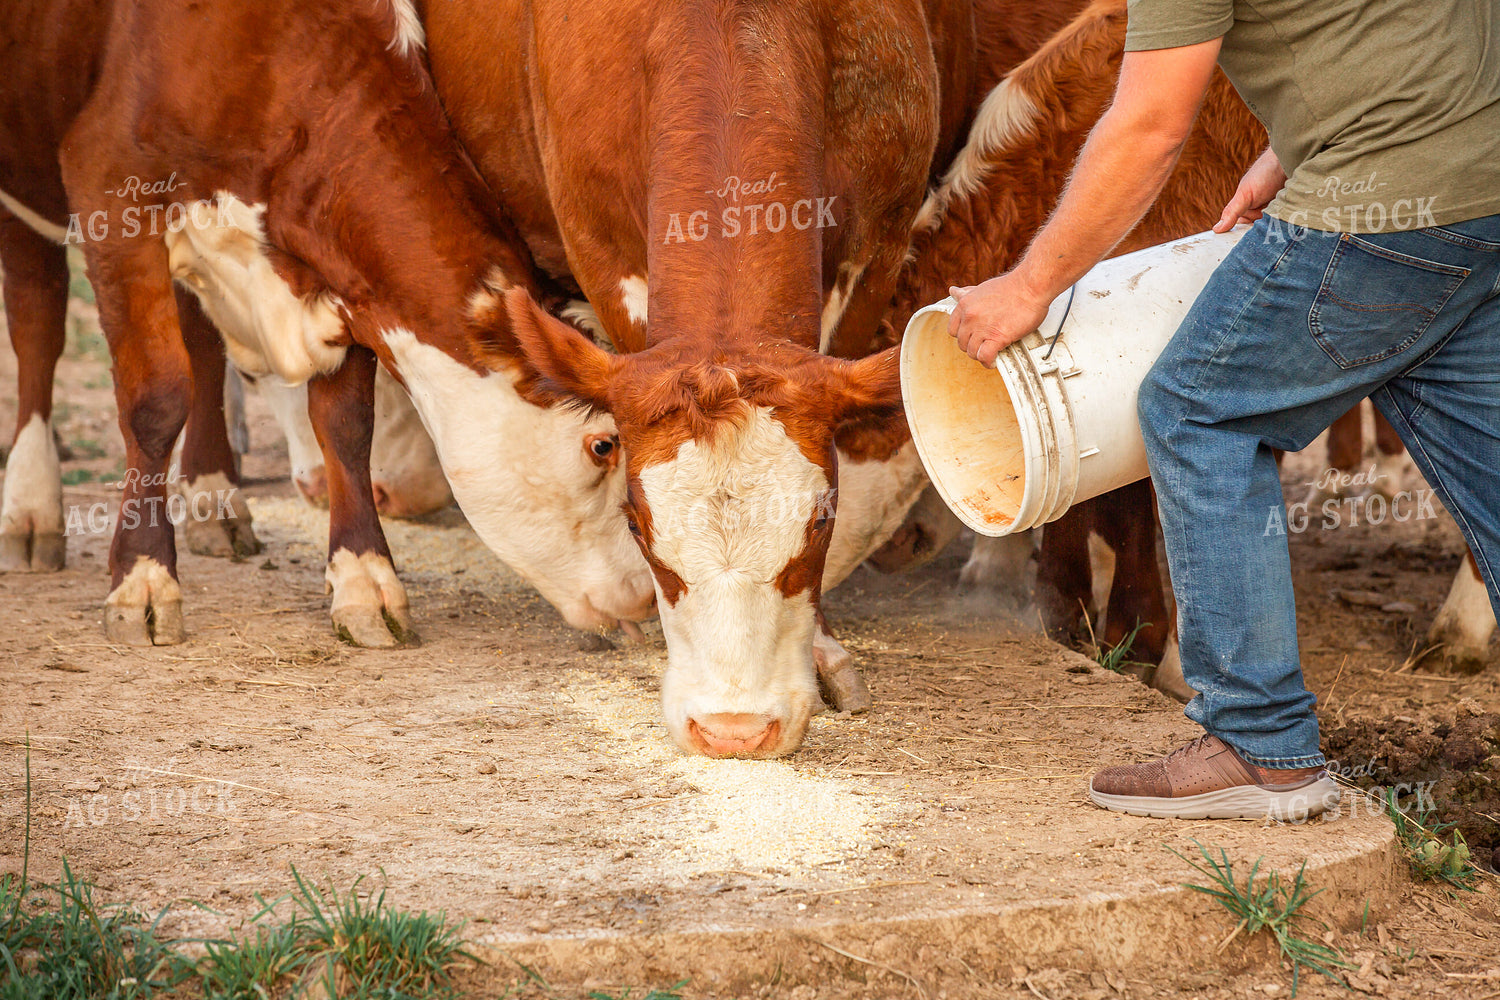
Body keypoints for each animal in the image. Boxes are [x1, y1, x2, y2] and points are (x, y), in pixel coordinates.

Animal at [0, 0, 655, 647]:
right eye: (603, 445)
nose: (648, 595)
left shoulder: (344, 276)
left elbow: (346, 426)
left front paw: (366, 581)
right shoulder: (115, 198)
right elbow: (155, 401)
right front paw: (143, 580)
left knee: (201, 342)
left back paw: (215, 499)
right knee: (38, 323)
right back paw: (32, 510)